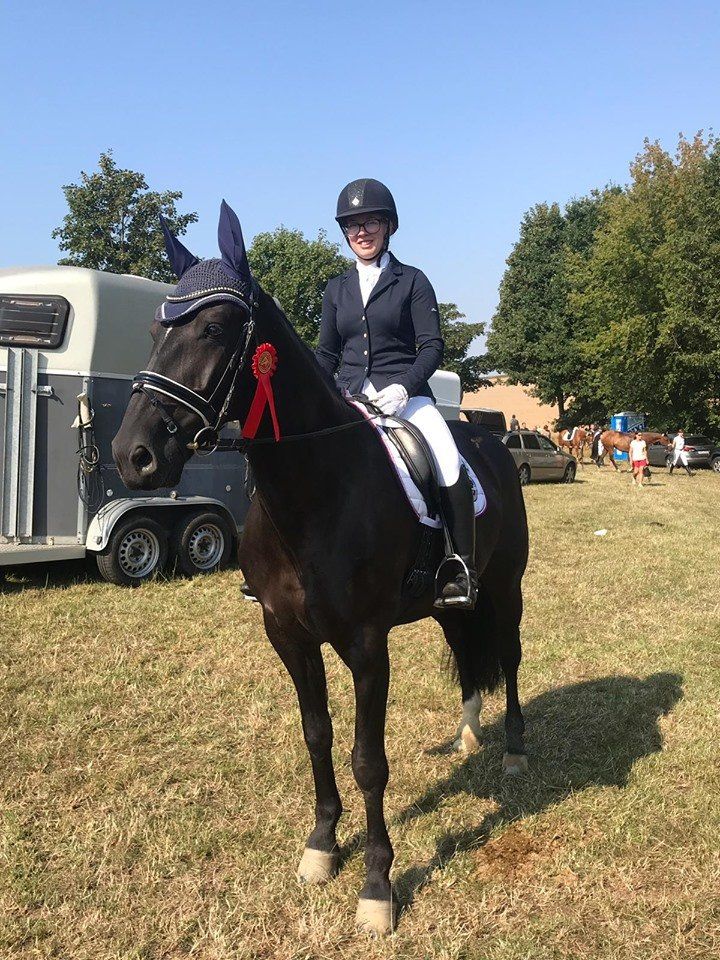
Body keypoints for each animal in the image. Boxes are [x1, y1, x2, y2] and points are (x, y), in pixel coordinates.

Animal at [111, 202, 530, 936]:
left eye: (214, 328)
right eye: (160, 326)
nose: (132, 456)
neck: (313, 491)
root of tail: (490, 440)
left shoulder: (366, 644)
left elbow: (368, 760)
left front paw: (377, 886)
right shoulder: (288, 636)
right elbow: (317, 737)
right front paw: (321, 848)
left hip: (505, 590)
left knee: (507, 655)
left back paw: (511, 748)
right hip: (453, 599)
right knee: (466, 650)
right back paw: (467, 735)